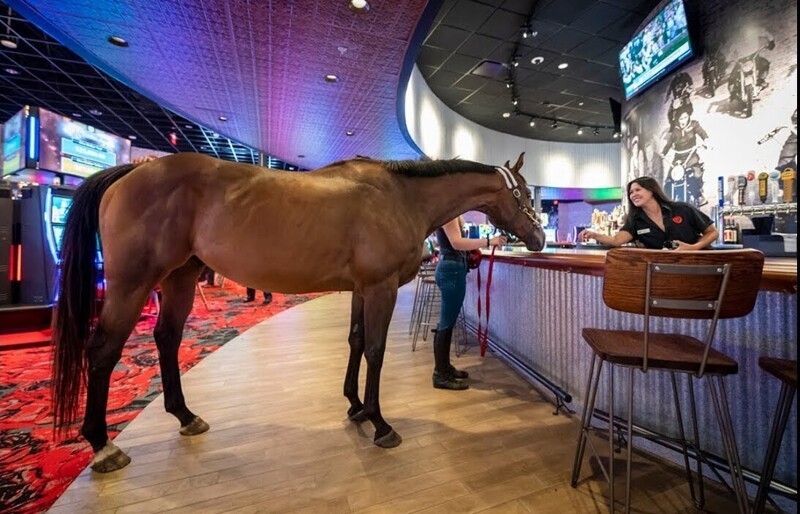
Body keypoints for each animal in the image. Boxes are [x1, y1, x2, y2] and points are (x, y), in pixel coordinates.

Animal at [52, 151, 545, 473]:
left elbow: (356, 341)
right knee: (103, 351)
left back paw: (185, 416)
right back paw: (102, 446)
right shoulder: (380, 288)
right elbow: (376, 351)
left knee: (167, 338)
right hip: (132, 284)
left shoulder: (361, 289)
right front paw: (380, 422)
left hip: (180, 278)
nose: (539, 238)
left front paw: (355, 407)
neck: (399, 196)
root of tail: (133, 171)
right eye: (524, 192)